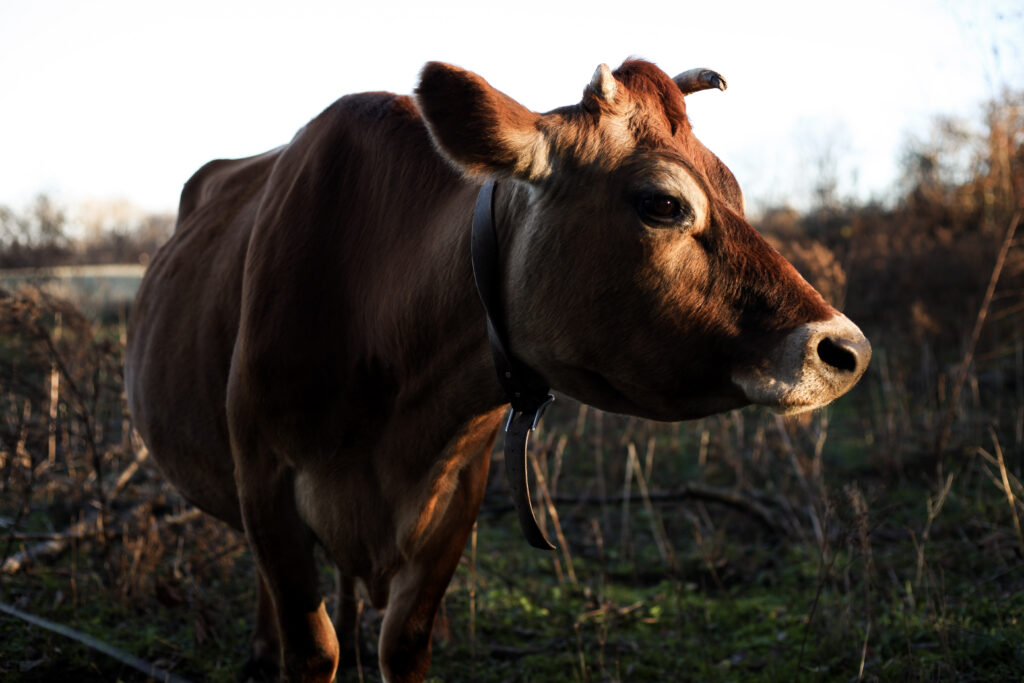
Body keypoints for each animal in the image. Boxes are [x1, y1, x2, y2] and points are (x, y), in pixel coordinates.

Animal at [125, 59, 870, 682]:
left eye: (736, 191)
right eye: (661, 202)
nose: (846, 351)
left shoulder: (459, 493)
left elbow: (404, 643)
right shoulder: (265, 479)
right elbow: (311, 647)